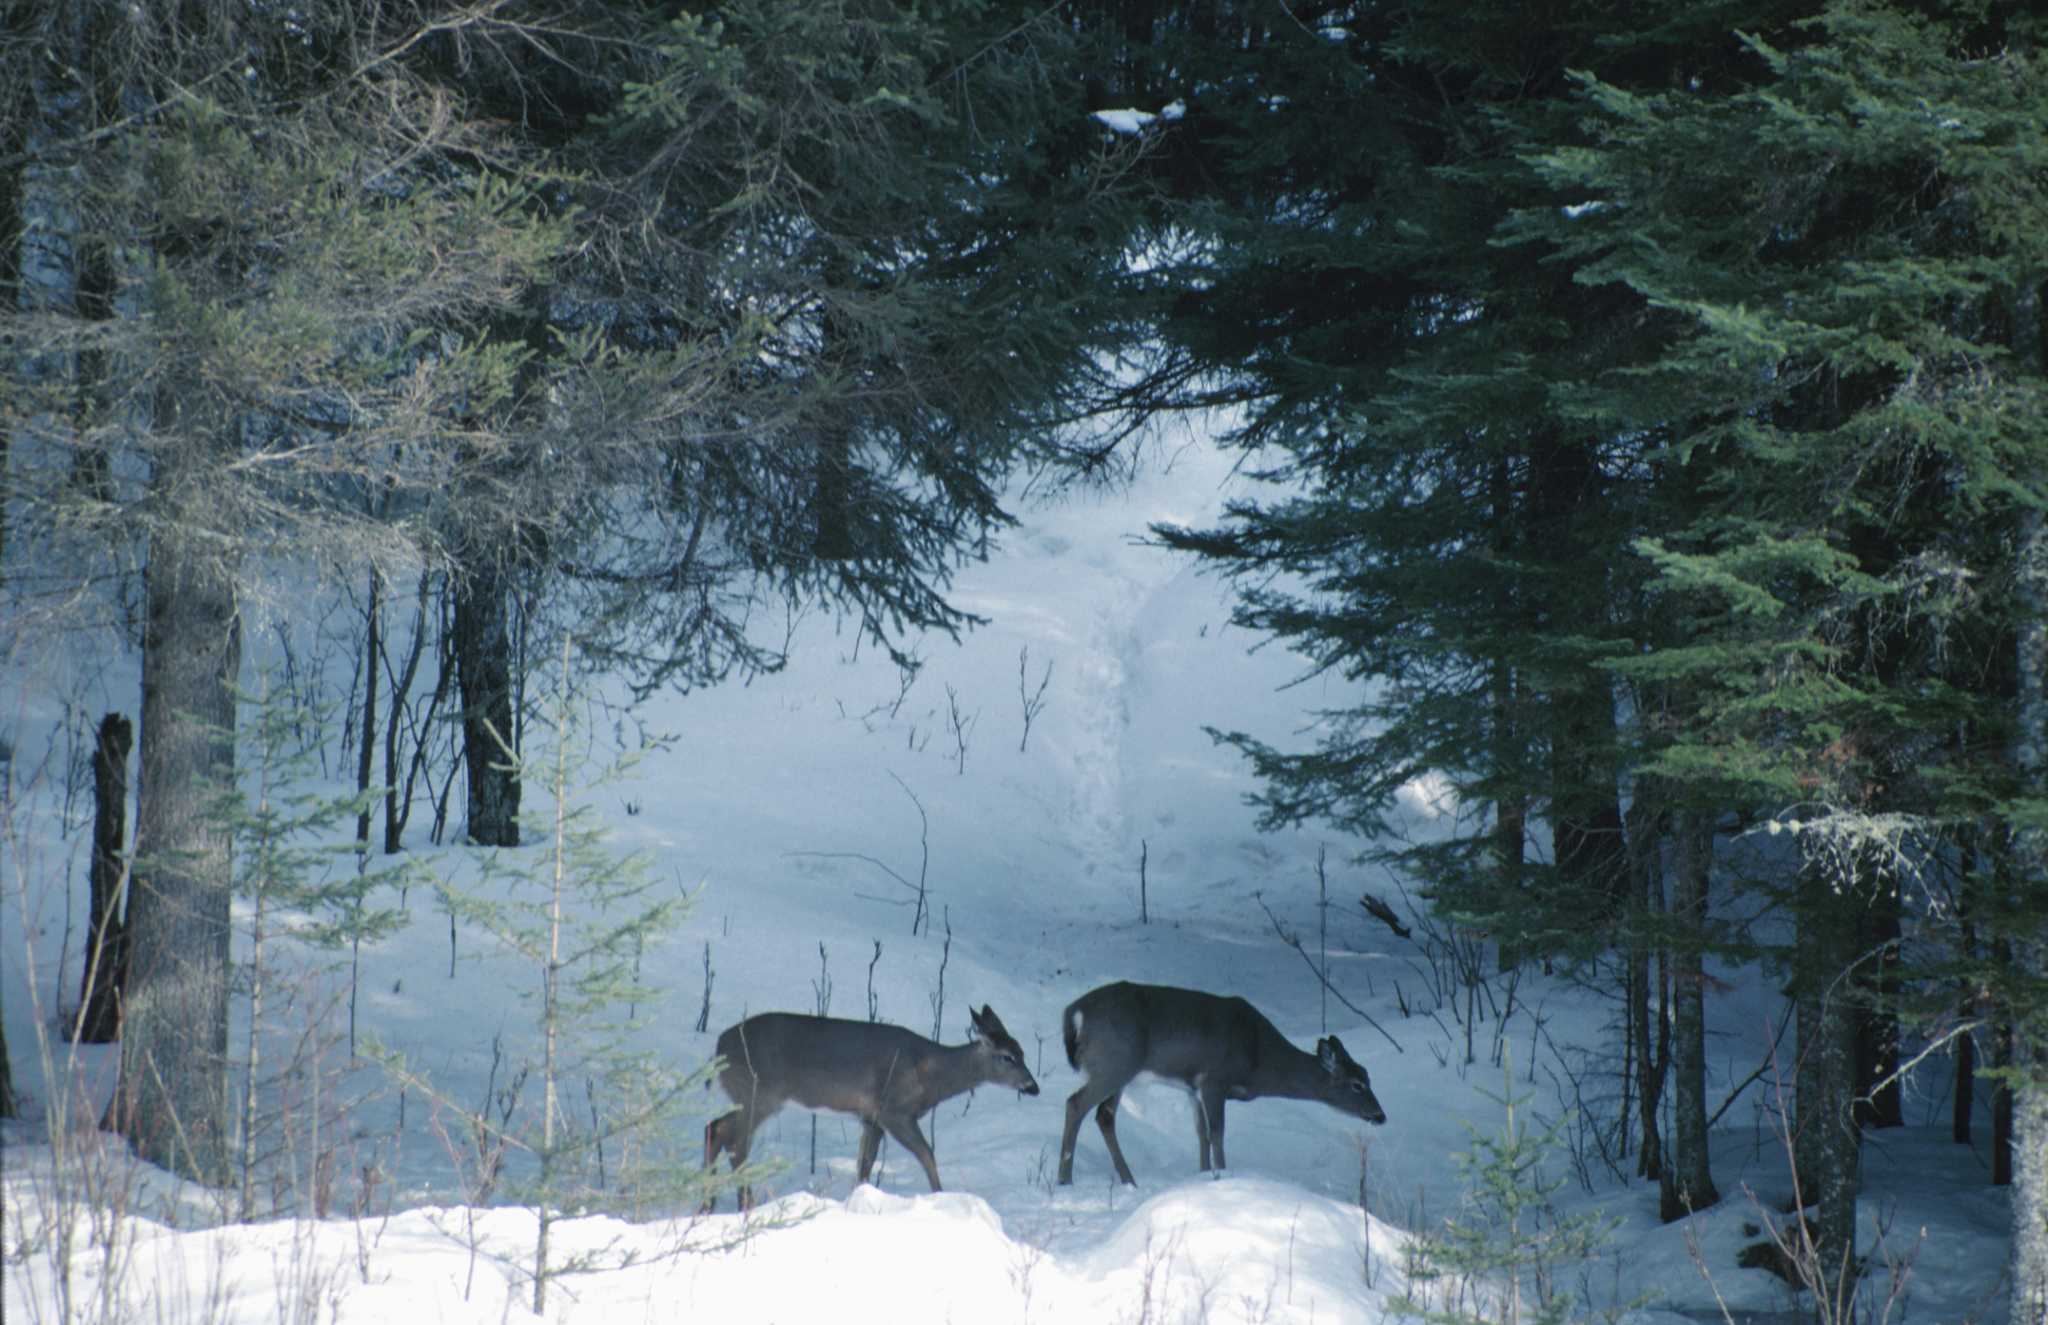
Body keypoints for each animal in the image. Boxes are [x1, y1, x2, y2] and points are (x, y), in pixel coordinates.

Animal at [703, 1003, 1039, 1209]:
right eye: (1008, 1057)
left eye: (1023, 1052)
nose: (1032, 1087)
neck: (931, 1073)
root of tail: (718, 1047)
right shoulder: (894, 1110)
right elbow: (927, 1154)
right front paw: (941, 1197)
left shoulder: (871, 1118)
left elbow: (864, 1164)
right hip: (759, 1093)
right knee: (728, 1136)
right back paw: (741, 1205)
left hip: (751, 1096)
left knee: (717, 1130)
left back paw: (711, 1204)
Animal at [1056, 980, 1386, 1186]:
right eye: (1357, 1084)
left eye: (1368, 1075)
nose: (1381, 1115)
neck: (1258, 1057)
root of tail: (1074, 1013)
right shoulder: (1215, 1079)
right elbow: (1217, 1132)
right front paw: (1222, 1176)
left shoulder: (1193, 1088)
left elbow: (1201, 1133)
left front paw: (1203, 1175)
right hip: (1114, 1064)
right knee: (1075, 1103)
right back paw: (1065, 1180)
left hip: (1119, 1072)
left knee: (1104, 1115)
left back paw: (1128, 1180)